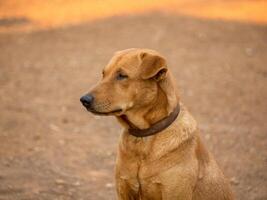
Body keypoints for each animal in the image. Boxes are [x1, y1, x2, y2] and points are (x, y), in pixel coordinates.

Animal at [80, 48, 234, 200]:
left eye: (122, 76)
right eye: (103, 74)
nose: (84, 100)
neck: (142, 137)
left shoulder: (174, 194)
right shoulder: (124, 189)